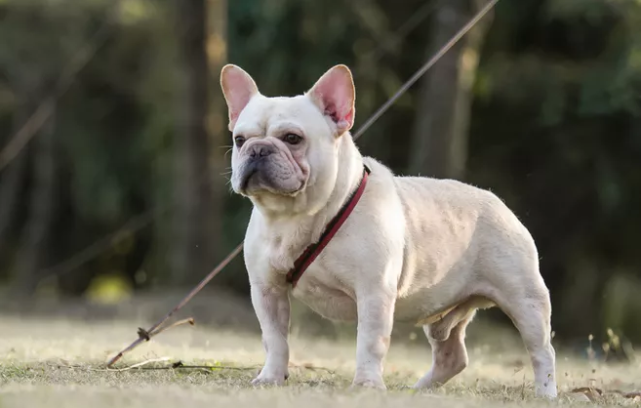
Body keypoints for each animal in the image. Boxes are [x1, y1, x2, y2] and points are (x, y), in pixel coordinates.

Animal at [219, 64, 556, 398]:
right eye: (239, 139)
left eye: (292, 138)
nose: (258, 149)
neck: (296, 215)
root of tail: (499, 203)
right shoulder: (267, 290)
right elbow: (275, 339)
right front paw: (271, 377)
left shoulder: (374, 291)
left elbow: (370, 341)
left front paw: (366, 385)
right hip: (446, 314)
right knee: (452, 356)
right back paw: (418, 390)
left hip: (524, 298)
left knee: (542, 350)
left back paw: (546, 393)